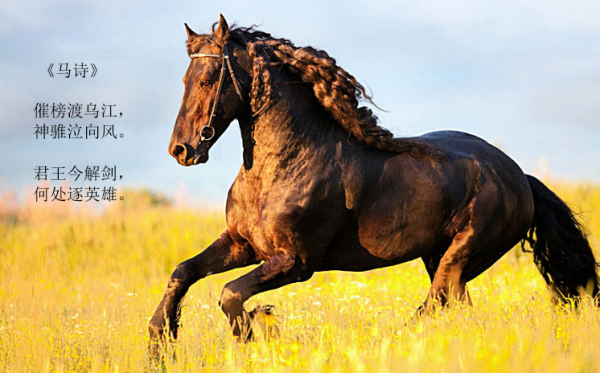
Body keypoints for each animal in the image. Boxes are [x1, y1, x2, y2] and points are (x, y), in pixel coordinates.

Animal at [148, 14, 596, 352]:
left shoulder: (296, 262)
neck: (282, 167)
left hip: (461, 255)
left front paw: (260, 330)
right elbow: (183, 272)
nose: (181, 150)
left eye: (208, 79)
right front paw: (160, 341)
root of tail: (519, 177)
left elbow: (230, 294)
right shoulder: (244, 245)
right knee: (457, 309)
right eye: (185, 80)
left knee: (433, 306)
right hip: (440, 257)